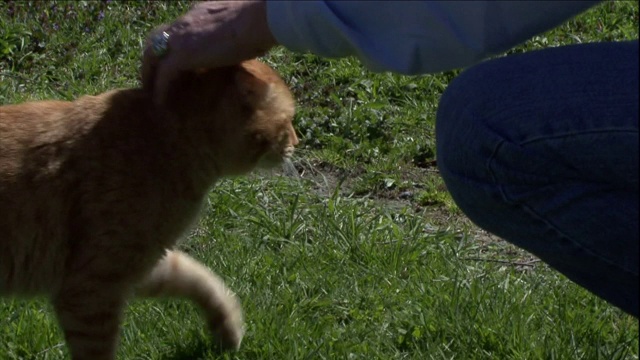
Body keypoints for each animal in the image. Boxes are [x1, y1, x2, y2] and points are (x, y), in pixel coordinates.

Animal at [0, 59, 298, 360]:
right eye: (289, 121)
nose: (296, 143)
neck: (167, 139)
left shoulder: (141, 264)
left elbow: (200, 279)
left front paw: (228, 330)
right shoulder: (91, 287)